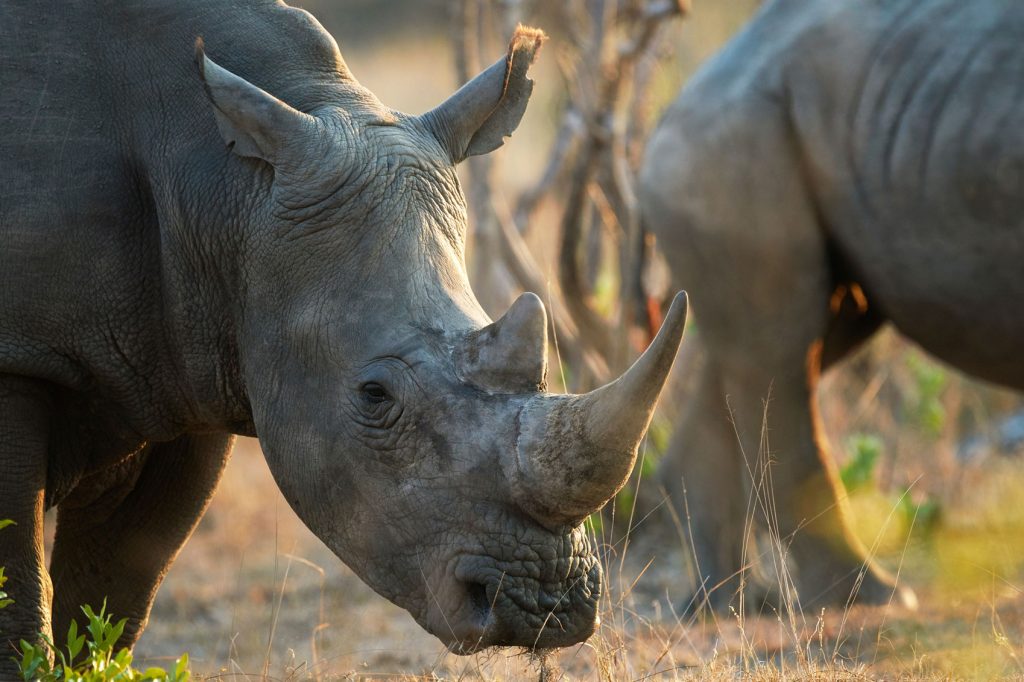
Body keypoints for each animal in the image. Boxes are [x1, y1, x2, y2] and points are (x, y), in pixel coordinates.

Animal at [0, 0, 689, 667]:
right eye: (374, 395)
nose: (548, 606)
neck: (225, 184)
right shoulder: (20, 361)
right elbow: (20, 601)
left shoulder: (189, 363)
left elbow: (113, 599)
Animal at [641, 0, 1023, 610]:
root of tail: (673, 103)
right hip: (731, 141)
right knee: (782, 348)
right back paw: (873, 598)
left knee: (803, 335)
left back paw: (720, 604)